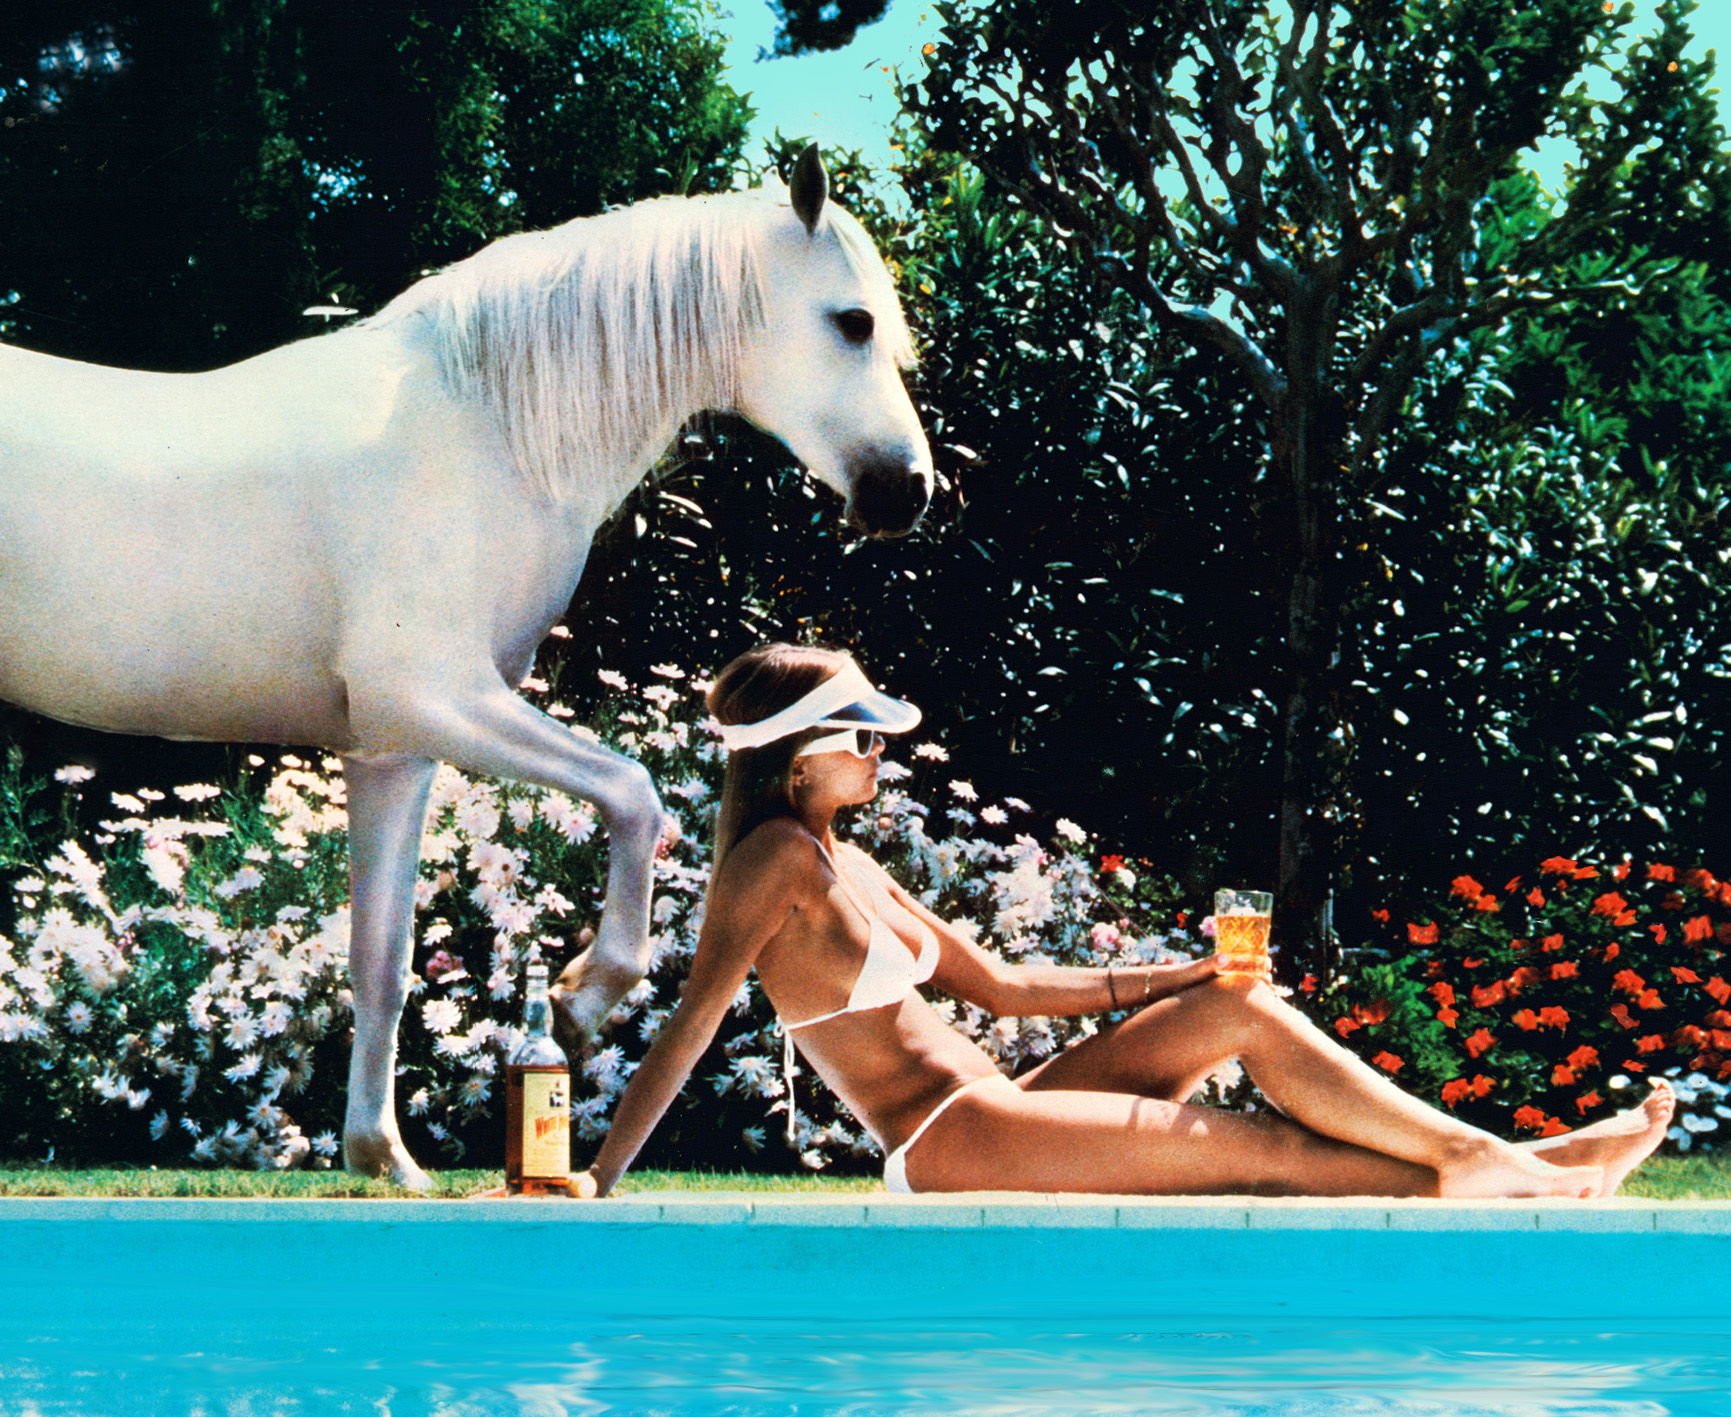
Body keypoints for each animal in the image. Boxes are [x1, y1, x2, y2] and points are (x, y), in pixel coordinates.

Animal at [0, 145, 932, 1188]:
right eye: (851, 322)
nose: (908, 493)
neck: (483, 427)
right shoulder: (440, 698)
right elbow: (634, 794)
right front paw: (577, 999)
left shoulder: (394, 750)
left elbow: (382, 957)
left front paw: (384, 1157)